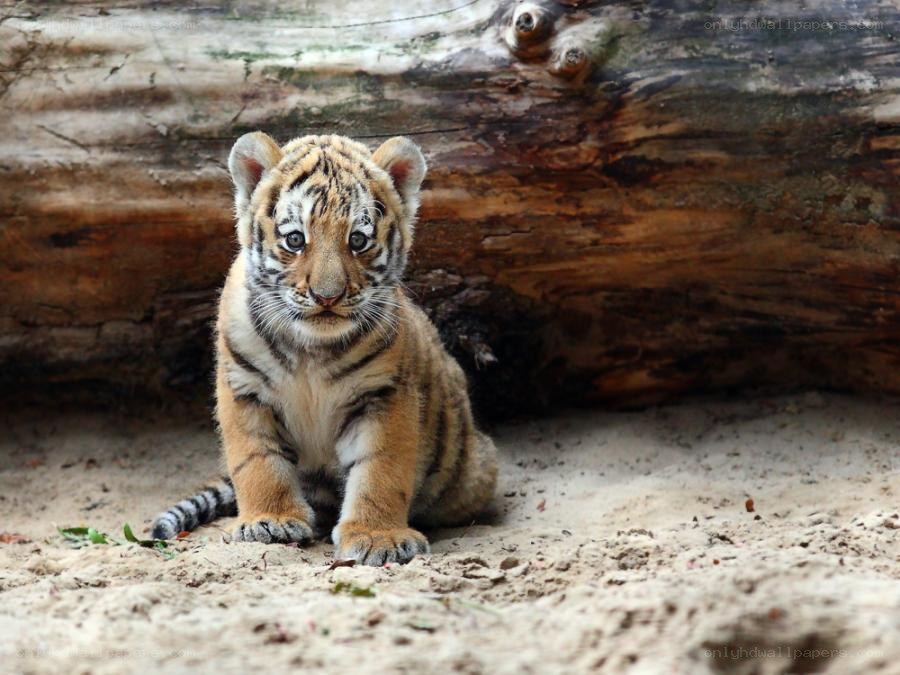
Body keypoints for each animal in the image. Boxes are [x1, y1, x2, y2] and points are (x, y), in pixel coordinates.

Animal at [150, 132, 498, 565]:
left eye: (358, 240)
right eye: (295, 239)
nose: (327, 297)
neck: (310, 350)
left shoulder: (384, 395)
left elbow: (381, 468)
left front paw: (378, 537)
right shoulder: (244, 388)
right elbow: (257, 460)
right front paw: (270, 521)